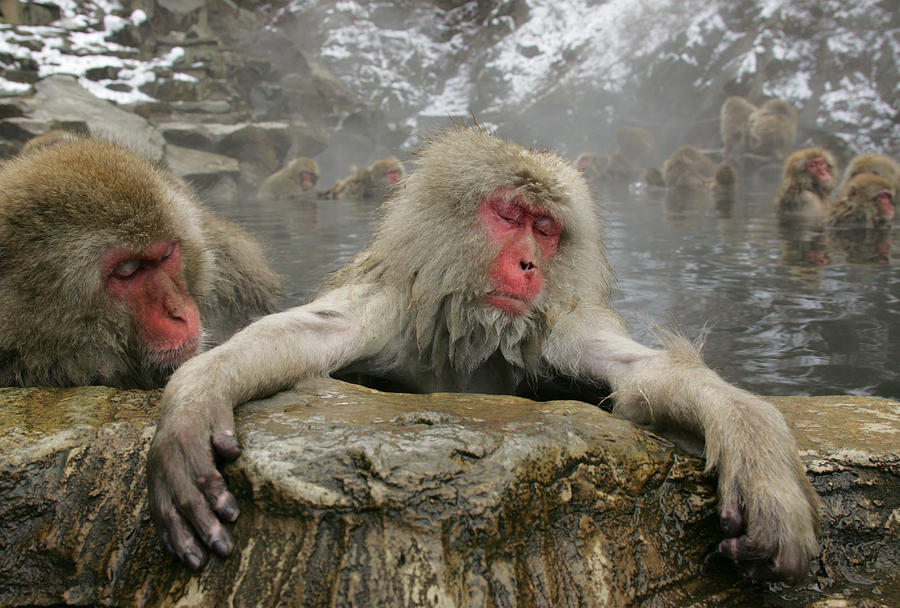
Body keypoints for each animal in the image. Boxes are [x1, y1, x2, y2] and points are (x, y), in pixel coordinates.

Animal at [148, 123, 824, 584]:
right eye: (509, 214)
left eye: (546, 230)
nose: (529, 265)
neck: (472, 333)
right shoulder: (397, 306)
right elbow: (305, 335)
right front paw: (194, 398)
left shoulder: (553, 329)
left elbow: (644, 372)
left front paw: (759, 455)